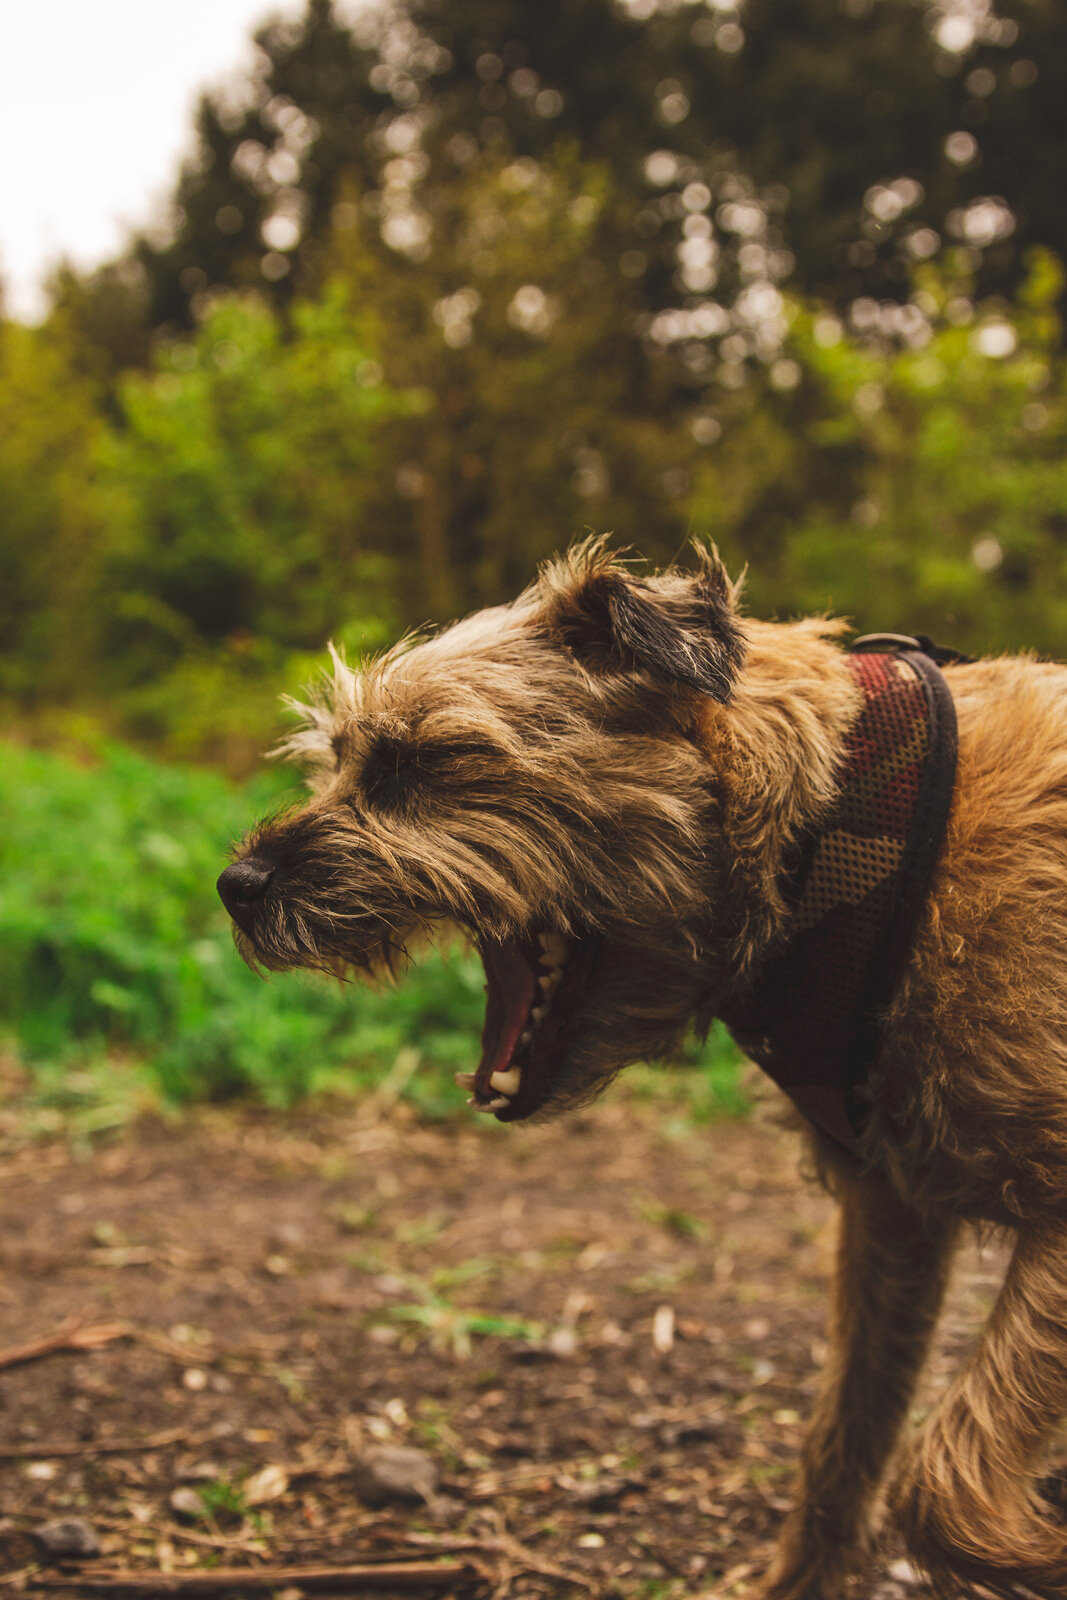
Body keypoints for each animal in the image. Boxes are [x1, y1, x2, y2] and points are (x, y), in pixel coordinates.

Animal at [217, 540, 1067, 1600]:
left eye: (419, 764)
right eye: (336, 759)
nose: (236, 886)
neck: (837, 828)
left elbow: (941, 1479)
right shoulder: (891, 1217)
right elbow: (847, 1447)